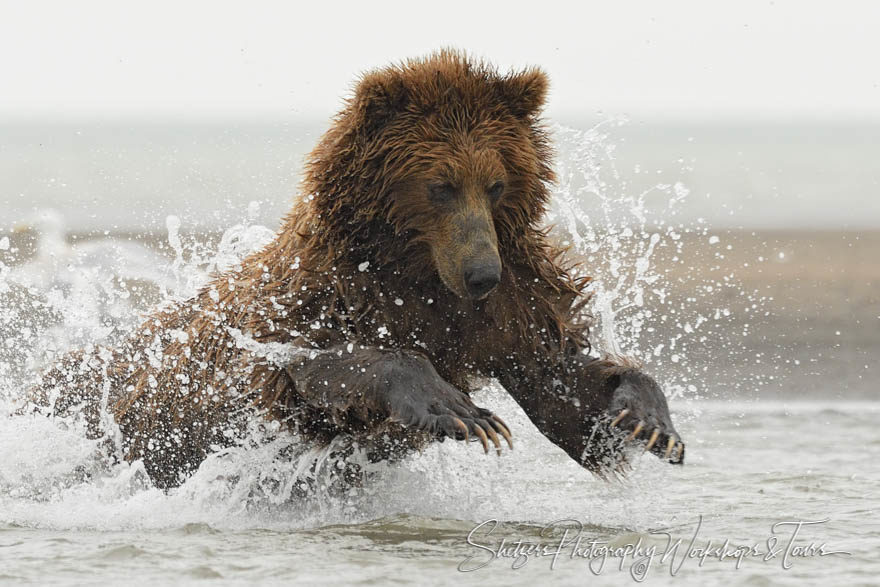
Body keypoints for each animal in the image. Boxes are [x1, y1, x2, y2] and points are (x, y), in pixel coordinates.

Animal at [34, 51, 684, 492]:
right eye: (441, 185)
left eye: (496, 183)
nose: (482, 275)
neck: (416, 270)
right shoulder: (323, 295)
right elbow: (304, 370)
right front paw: (460, 409)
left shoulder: (507, 309)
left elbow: (558, 381)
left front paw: (646, 417)